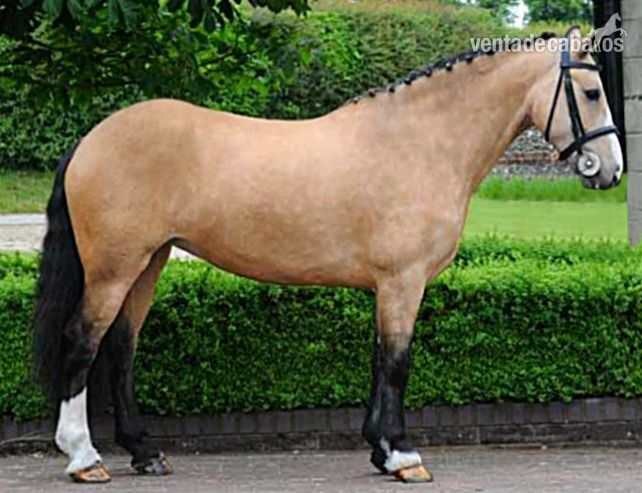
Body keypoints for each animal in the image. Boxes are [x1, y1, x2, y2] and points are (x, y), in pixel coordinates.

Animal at [34, 27, 623, 484]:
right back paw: (84, 458)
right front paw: (404, 456)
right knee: (82, 342)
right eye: (592, 91)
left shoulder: (388, 287)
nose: (610, 170)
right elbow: (397, 363)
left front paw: (380, 451)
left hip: (149, 261)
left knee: (121, 348)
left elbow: (379, 360)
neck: (419, 143)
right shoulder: (404, 282)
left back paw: (145, 452)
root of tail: (91, 139)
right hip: (115, 267)